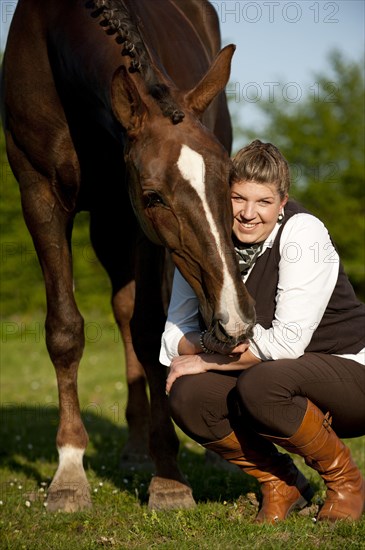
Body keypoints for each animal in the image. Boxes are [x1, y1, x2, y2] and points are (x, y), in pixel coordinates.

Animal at [1, 0, 255, 512]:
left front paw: (169, 479)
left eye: (229, 183)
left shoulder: (132, 216)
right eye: (154, 195)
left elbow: (150, 327)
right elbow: (65, 330)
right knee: (121, 311)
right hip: (108, 226)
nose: (236, 320)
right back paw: (135, 450)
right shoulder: (39, 195)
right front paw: (69, 473)